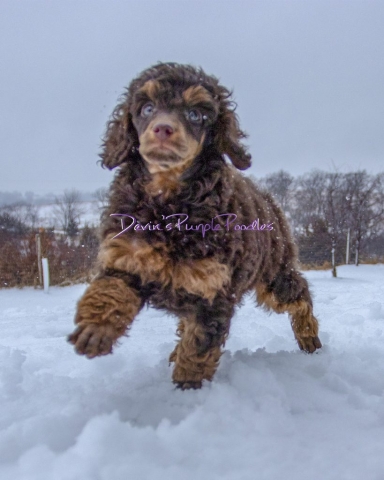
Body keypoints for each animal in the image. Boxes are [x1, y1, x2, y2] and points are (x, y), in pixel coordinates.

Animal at [68, 62, 320, 388]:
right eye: (147, 108)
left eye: (196, 114)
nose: (163, 129)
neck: (169, 206)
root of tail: (269, 199)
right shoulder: (126, 256)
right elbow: (111, 289)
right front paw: (95, 328)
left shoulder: (211, 291)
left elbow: (198, 349)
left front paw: (186, 391)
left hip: (275, 273)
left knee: (299, 294)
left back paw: (309, 336)